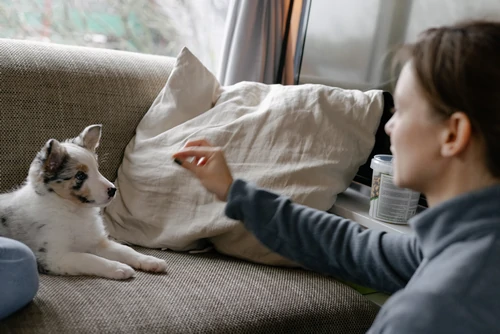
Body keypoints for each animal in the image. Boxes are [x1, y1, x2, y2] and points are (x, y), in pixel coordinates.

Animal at [0, 125, 168, 280]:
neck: (74, 210)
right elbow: (89, 259)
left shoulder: (96, 242)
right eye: (80, 175)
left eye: (97, 169)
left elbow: (126, 250)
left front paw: (150, 261)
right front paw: (119, 268)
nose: (113, 190)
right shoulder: (54, 257)